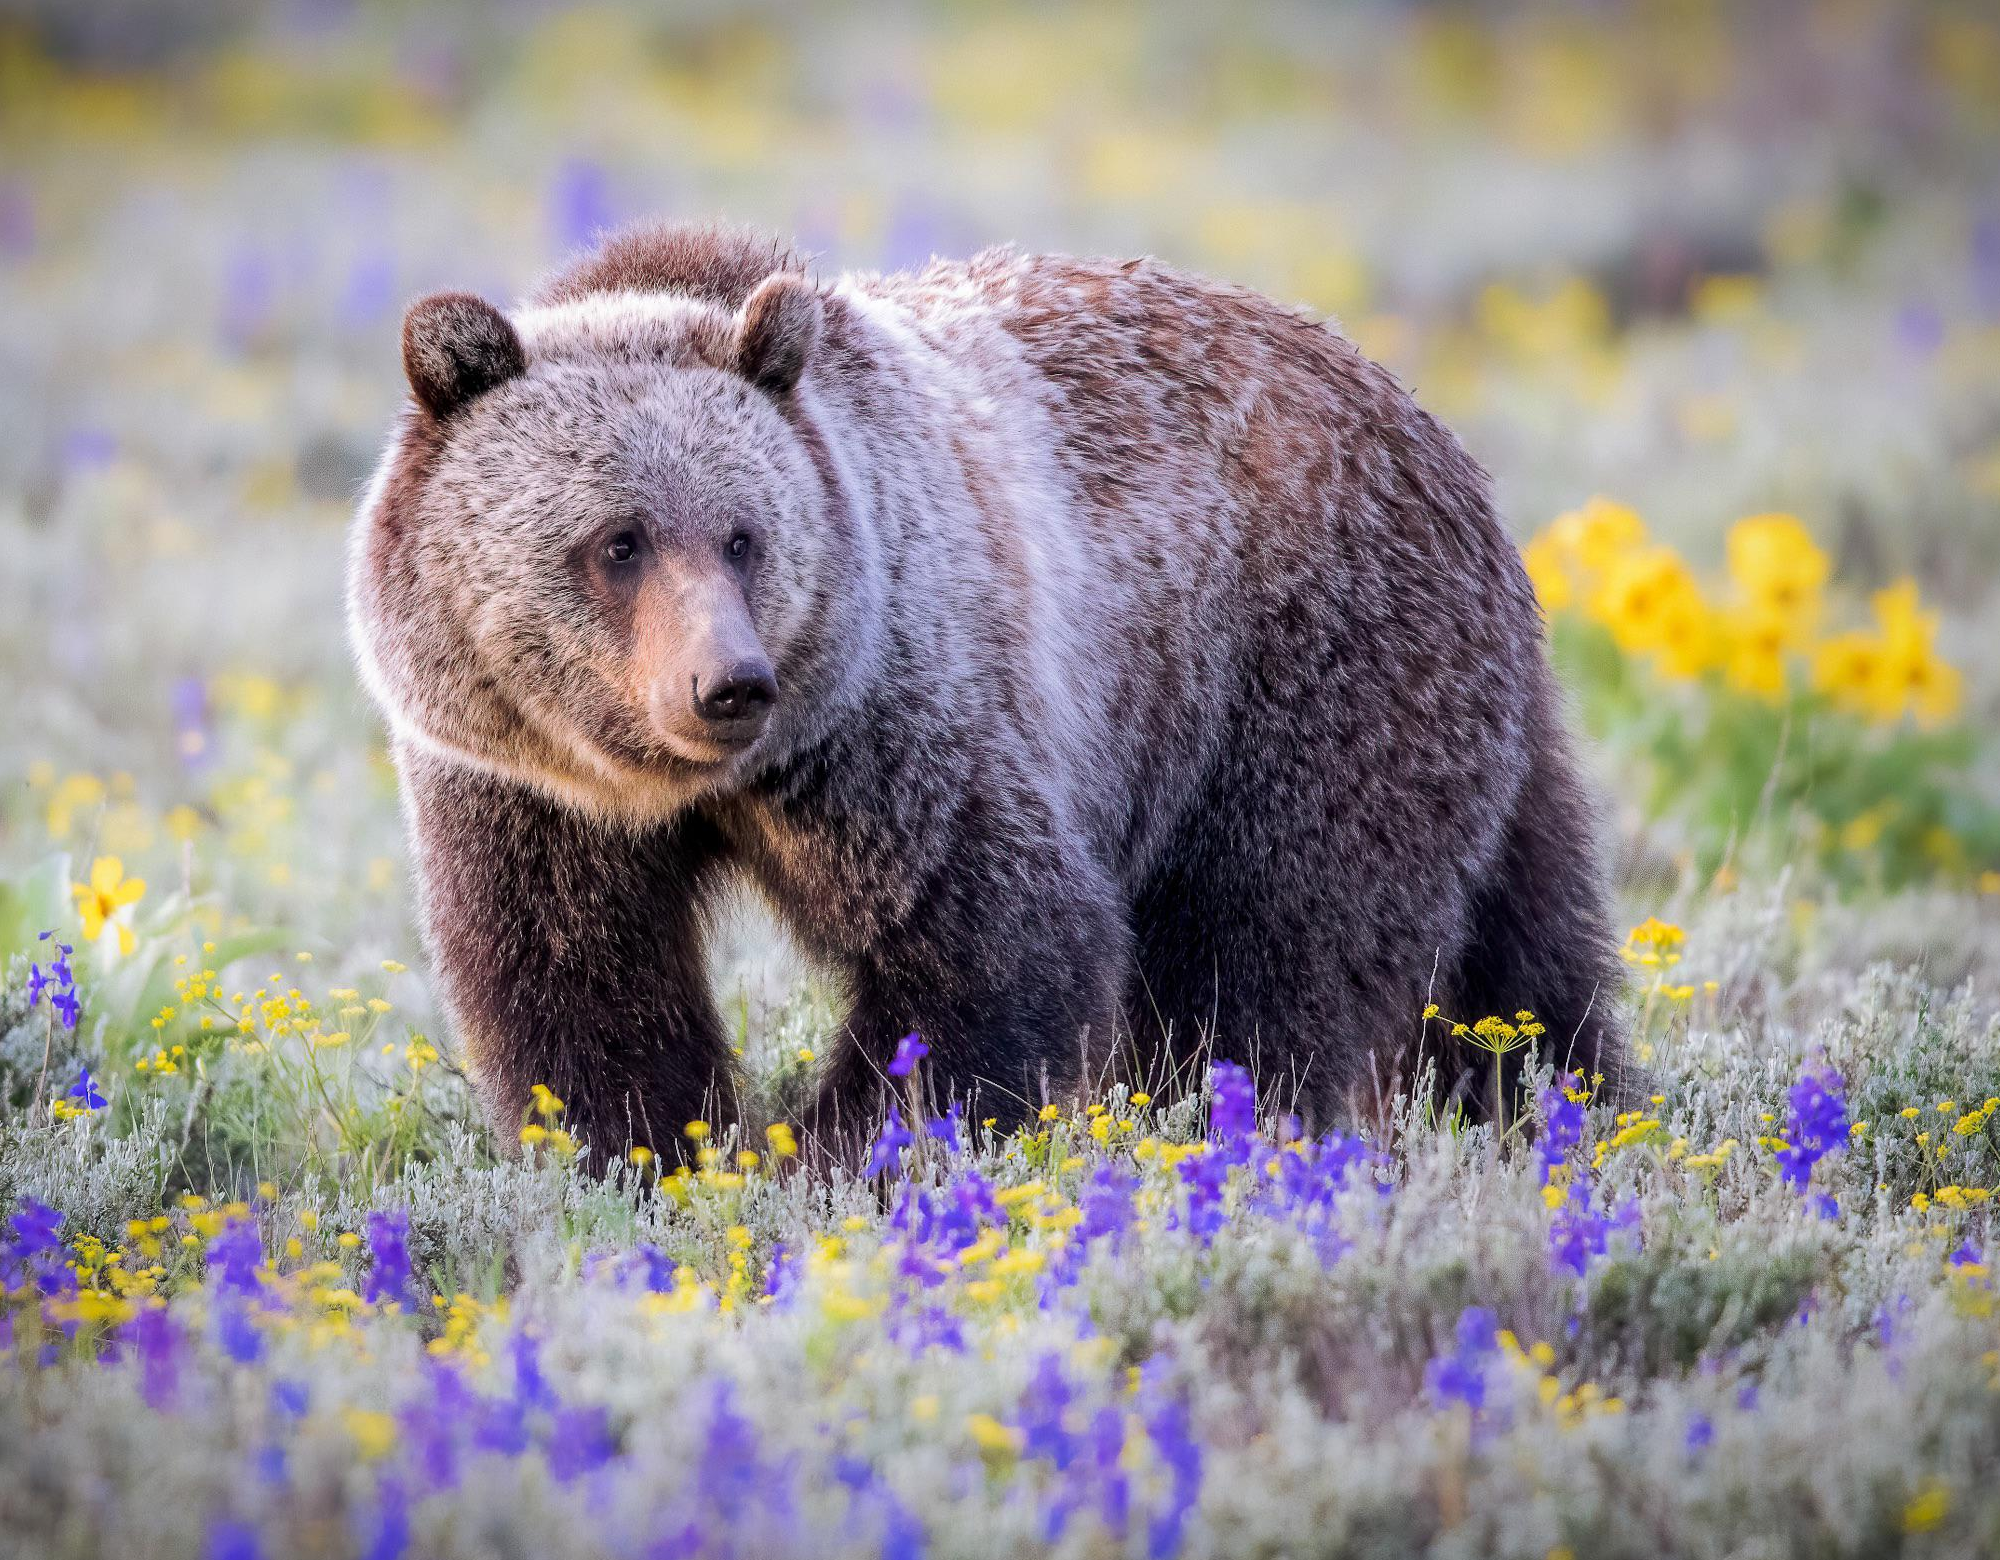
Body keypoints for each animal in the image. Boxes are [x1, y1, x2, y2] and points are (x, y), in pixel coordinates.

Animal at [347, 220, 1623, 1169]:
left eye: (743, 536)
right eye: (618, 542)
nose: (728, 684)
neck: (694, 785)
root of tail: (1433, 434)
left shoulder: (892, 711)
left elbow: (988, 940)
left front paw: (839, 1159)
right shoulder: (518, 782)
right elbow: (574, 980)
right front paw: (649, 1157)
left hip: (1304, 672)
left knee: (1270, 946)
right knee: (1526, 946)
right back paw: (1558, 1105)